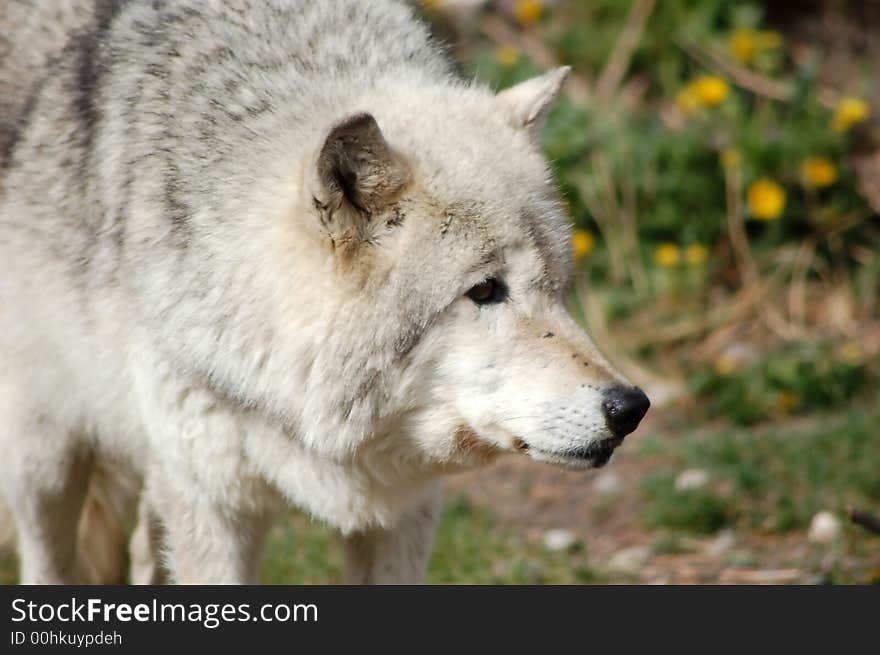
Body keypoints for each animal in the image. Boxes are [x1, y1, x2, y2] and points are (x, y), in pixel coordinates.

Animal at [0, 0, 648, 584]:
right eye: (486, 290)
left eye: (557, 288)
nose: (632, 407)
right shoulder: (213, 505)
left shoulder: (404, 513)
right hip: (45, 455)